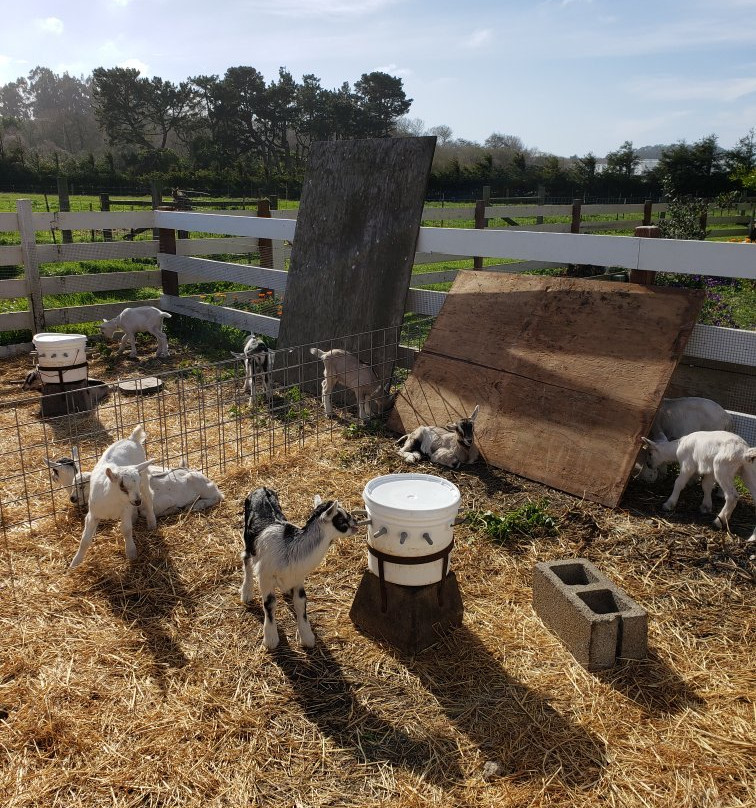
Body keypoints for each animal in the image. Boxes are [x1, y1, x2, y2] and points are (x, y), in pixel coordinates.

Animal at [68, 425, 157, 569]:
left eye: (136, 483)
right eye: (122, 486)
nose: (137, 501)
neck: (112, 501)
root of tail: (132, 438)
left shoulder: (125, 509)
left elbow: (126, 530)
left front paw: (131, 553)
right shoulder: (93, 514)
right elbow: (85, 540)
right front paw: (75, 563)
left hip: (144, 479)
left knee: (149, 498)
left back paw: (152, 522)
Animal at [240, 487, 358, 649]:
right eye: (341, 520)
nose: (356, 522)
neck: (291, 549)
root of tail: (261, 488)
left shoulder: (298, 577)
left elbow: (301, 601)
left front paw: (307, 637)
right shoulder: (265, 577)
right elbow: (270, 603)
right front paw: (270, 639)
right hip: (248, 538)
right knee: (246, 558)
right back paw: (246, 593)